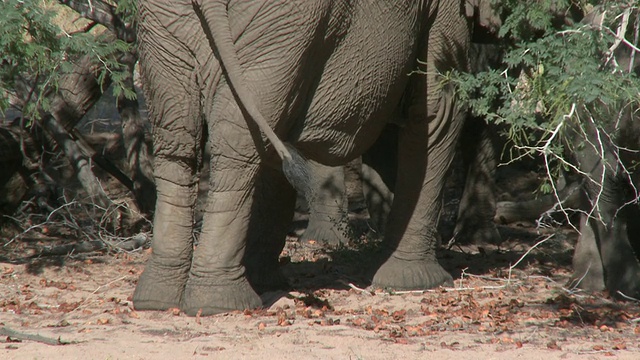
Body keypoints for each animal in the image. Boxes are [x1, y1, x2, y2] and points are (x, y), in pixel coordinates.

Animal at [131, 0, 470, 316]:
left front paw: (266, 282)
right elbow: (437, 113)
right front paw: (419, 282)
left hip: (171, 20)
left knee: (181, 137)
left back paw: (158, 299)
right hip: (282, 23)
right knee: (238, 140)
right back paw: (222, 304)